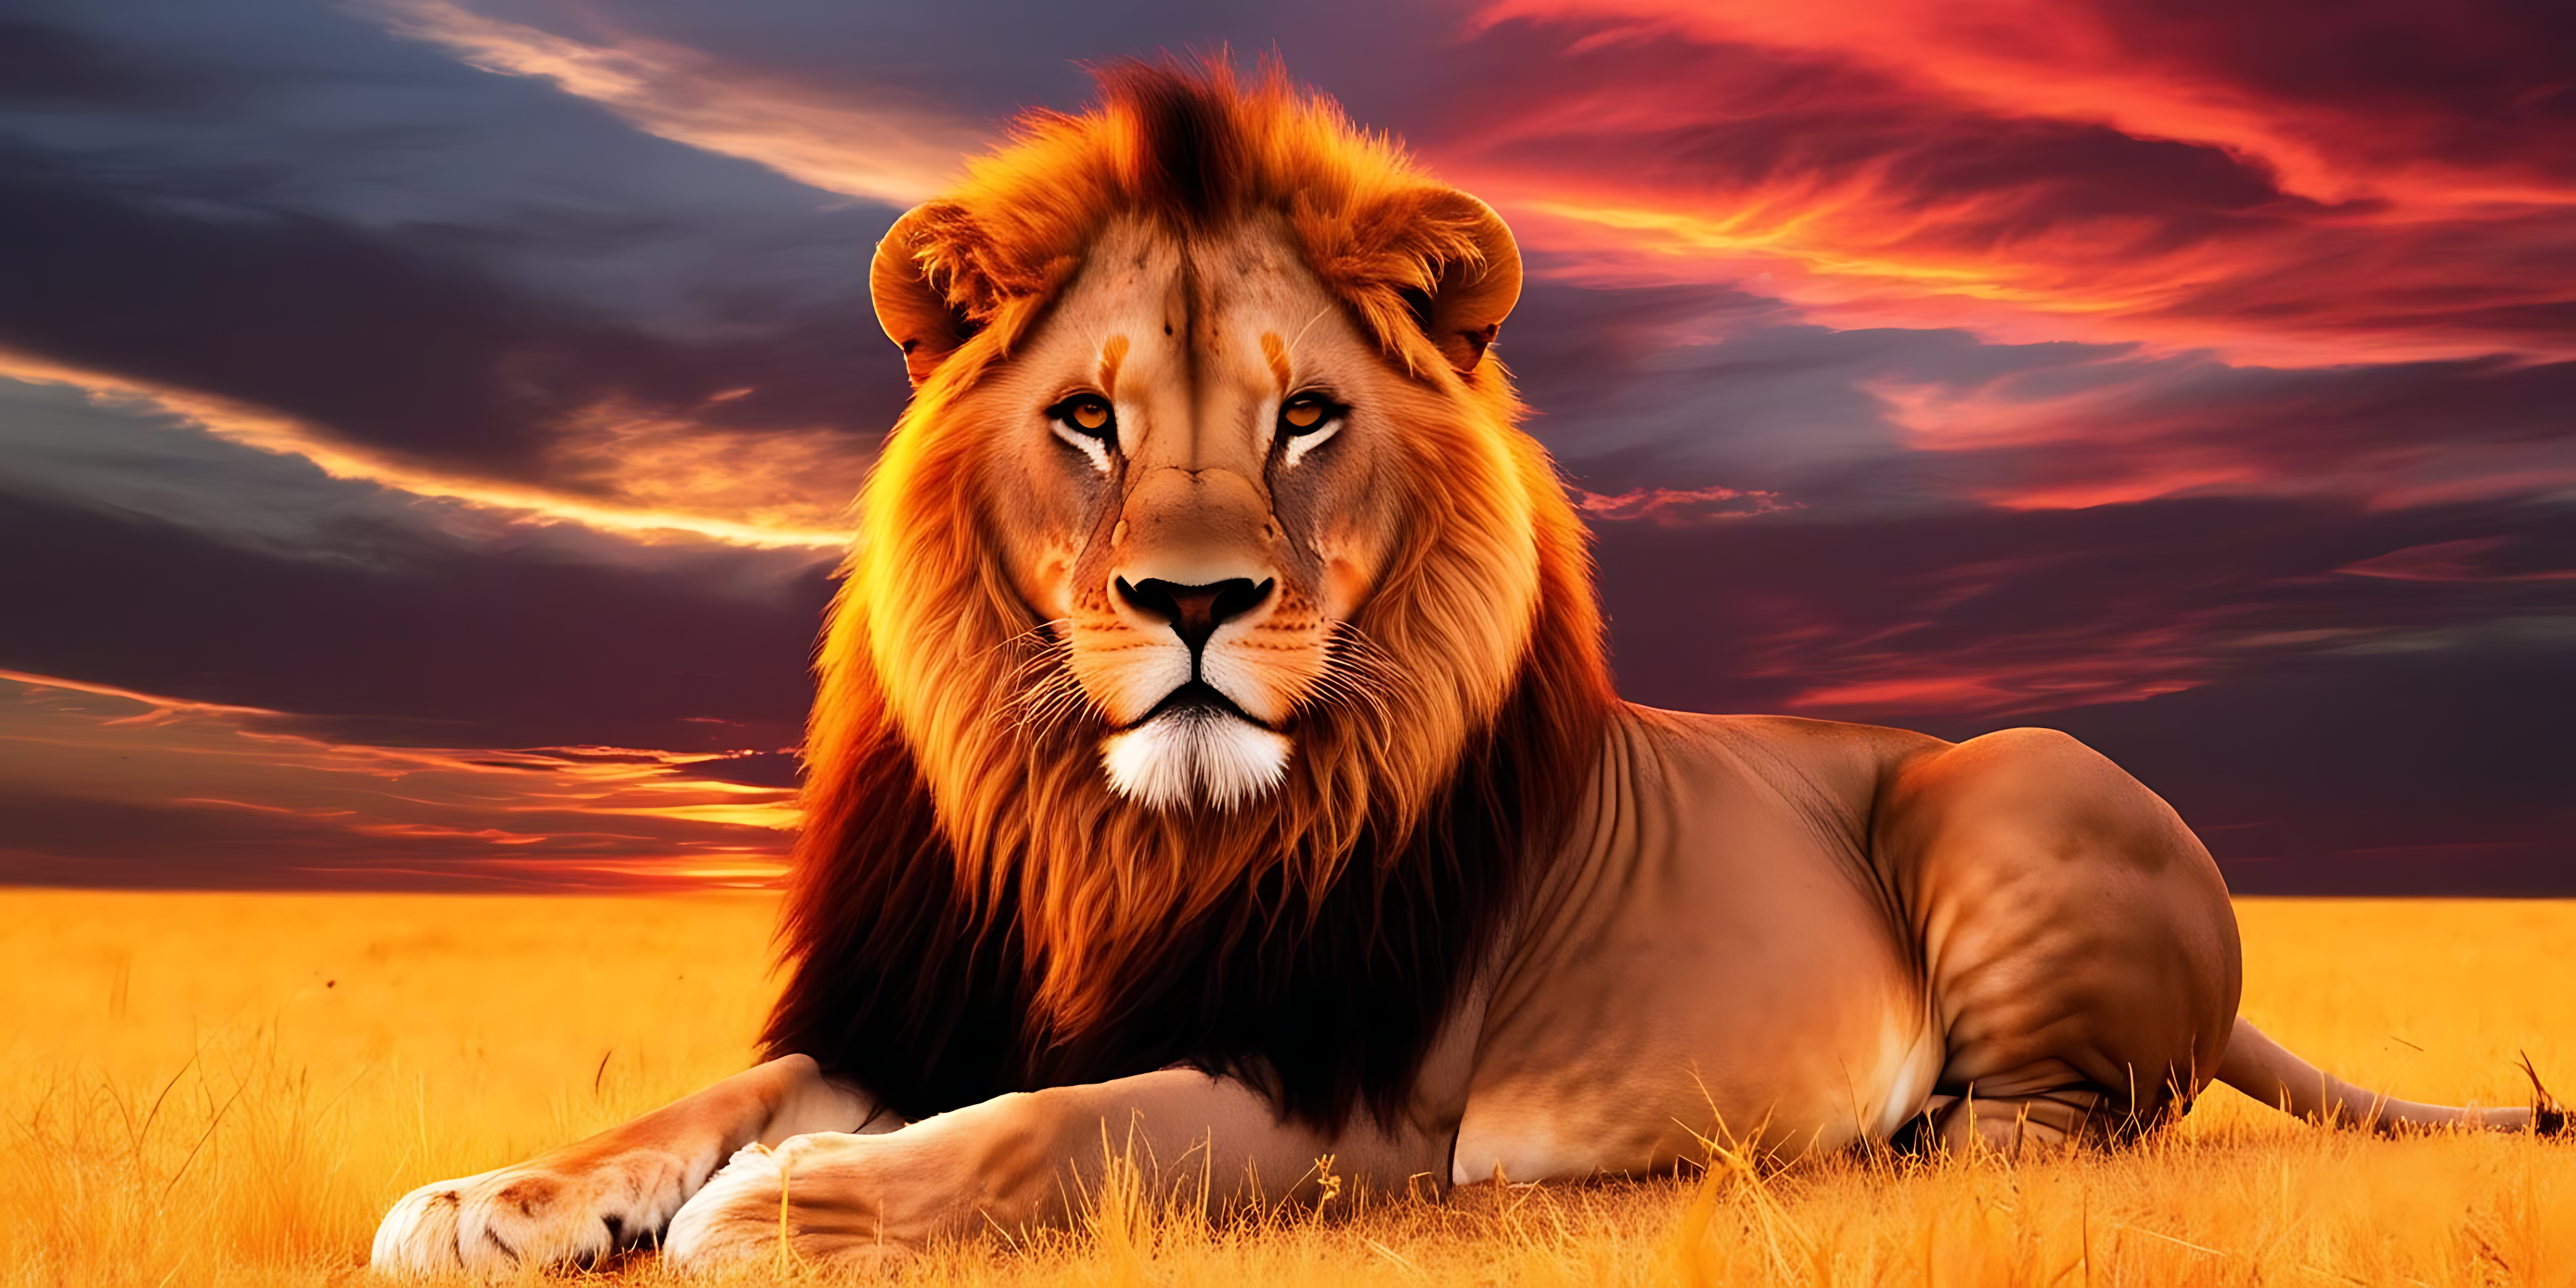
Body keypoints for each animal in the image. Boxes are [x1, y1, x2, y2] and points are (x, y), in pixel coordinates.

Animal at [371, 61, 2564, 1274]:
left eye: (1305, 420)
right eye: (1084, 419)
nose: (1190, 601)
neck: (1118, 835)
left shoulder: (1358, 1104)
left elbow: (1051, 1131)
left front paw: (782, 1208)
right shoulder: (931, 998)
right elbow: (719, 1086)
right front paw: (498, 1195)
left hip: (2010, 780)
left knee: (2081, 1113)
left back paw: (1910, 1131)